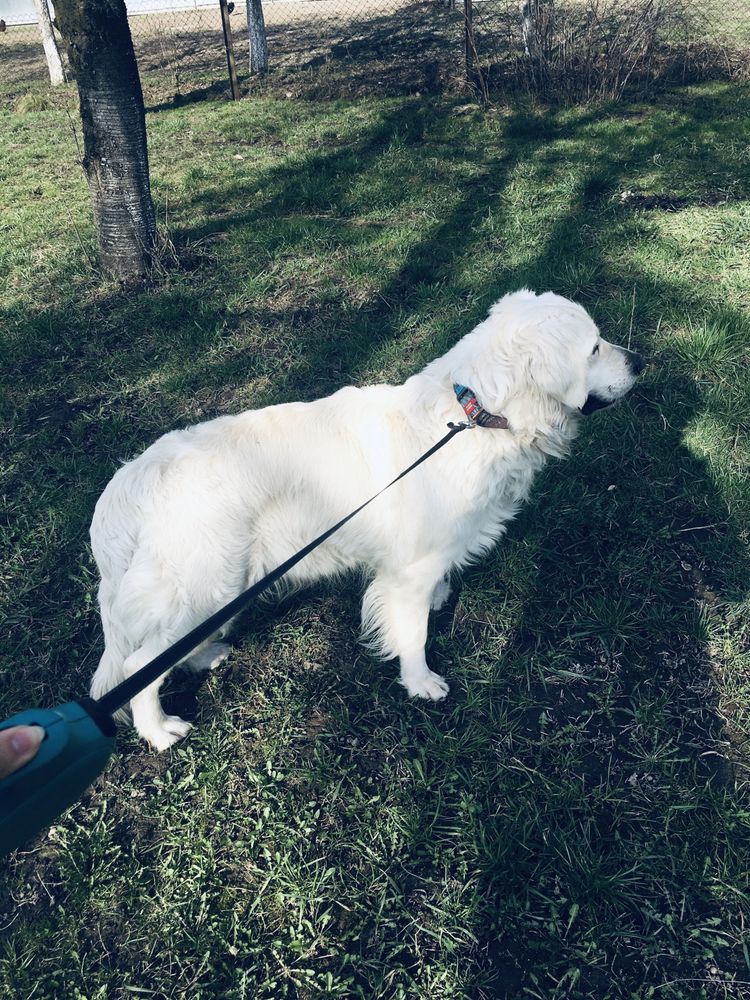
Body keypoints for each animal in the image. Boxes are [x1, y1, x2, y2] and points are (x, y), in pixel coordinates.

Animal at [89, 290, 648, 752]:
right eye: (593, 348)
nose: (642, 362)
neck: (474, 418)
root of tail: (127, 483)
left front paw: (441, 600)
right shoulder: (409, 569)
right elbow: (413, 633)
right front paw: (421, 683)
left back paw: (204, 657)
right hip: (211, 581)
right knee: (138, 665)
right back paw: (160, 732)